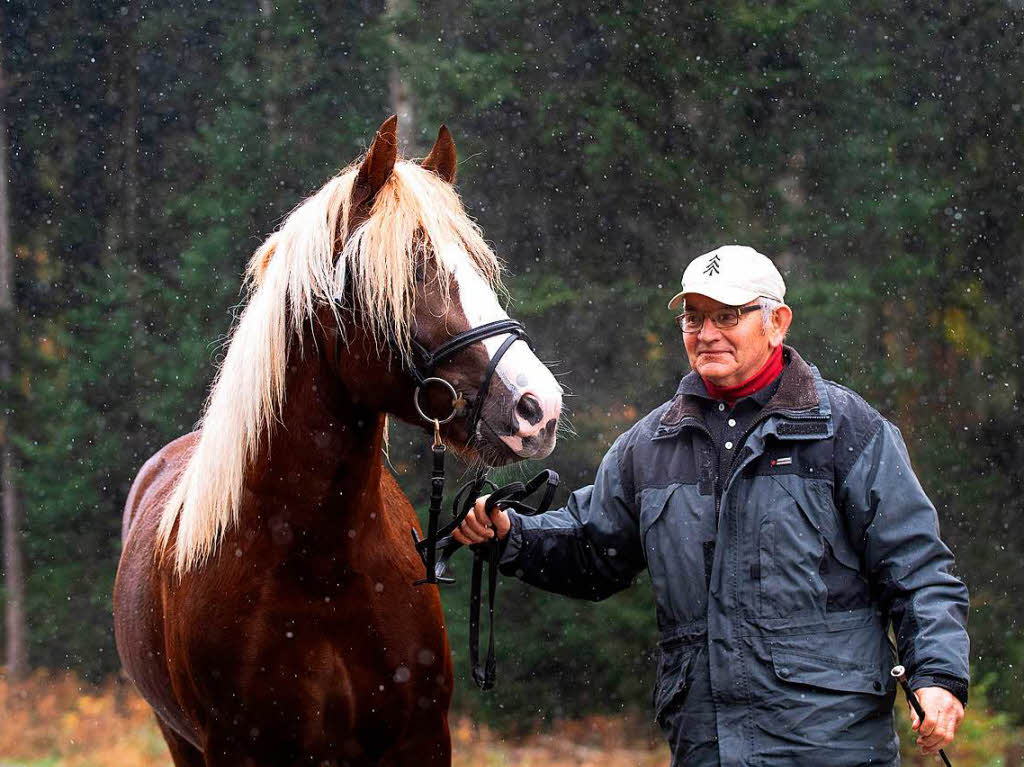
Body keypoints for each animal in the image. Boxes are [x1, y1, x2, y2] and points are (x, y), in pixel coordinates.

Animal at [115, 115, 565, 765]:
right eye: (413, 269)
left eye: (480, 267)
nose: (538, 410)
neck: (319, 566)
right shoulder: (233, 748)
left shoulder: (423, 739)